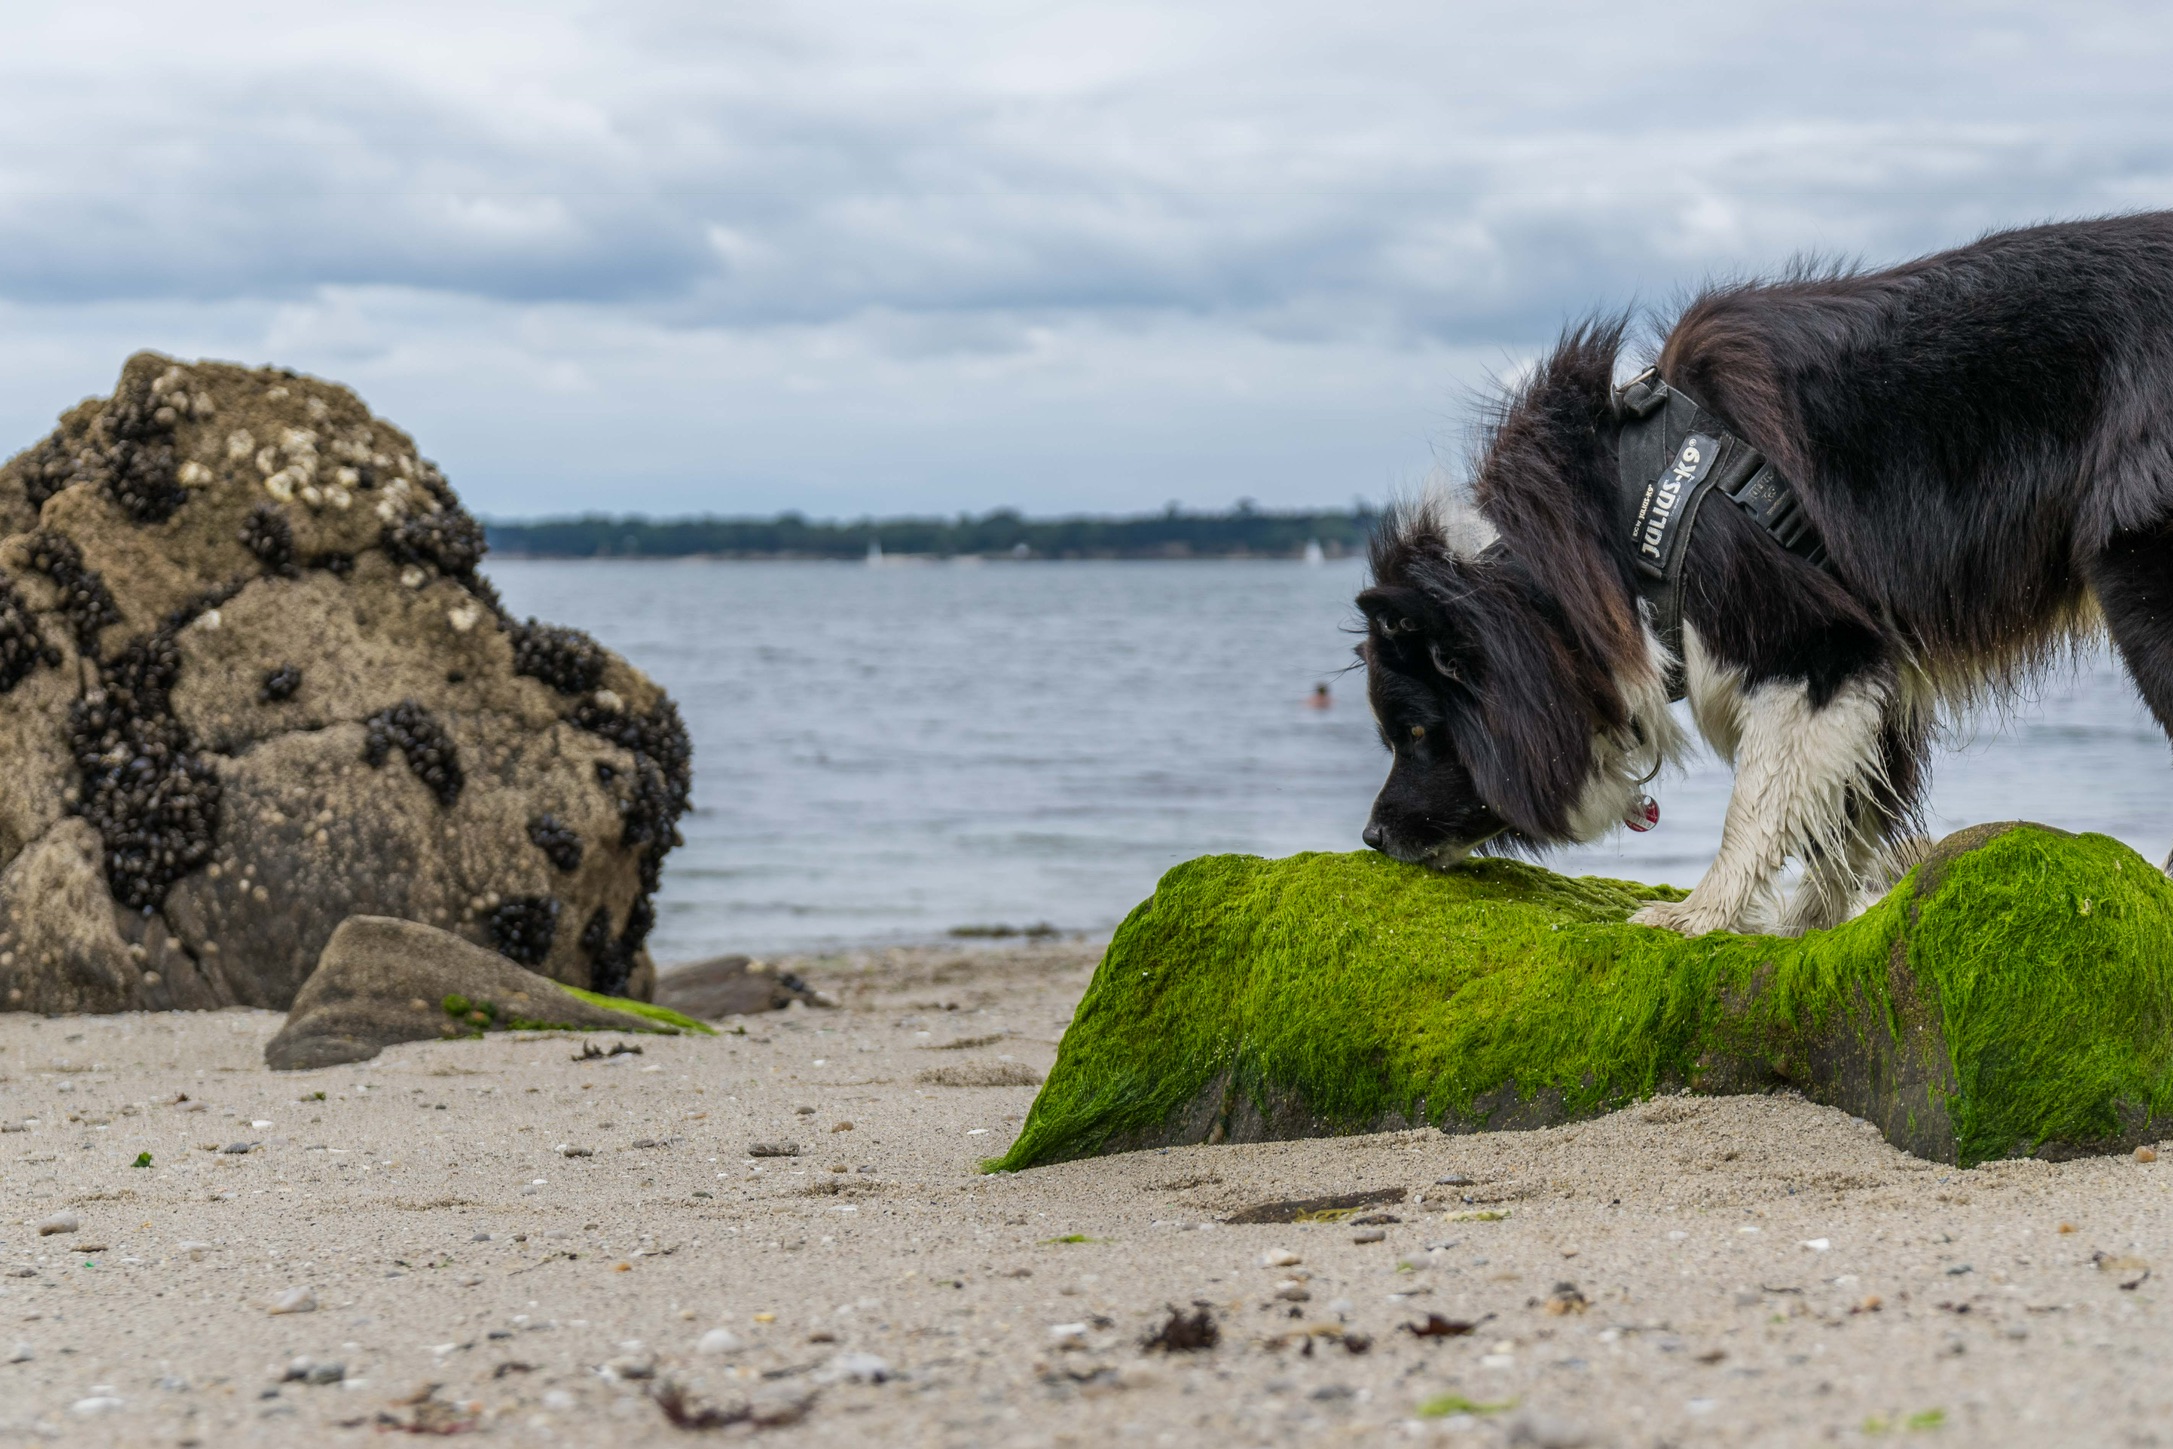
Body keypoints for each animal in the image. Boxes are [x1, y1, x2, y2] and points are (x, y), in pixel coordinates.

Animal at [1364, 215, 2173, 942]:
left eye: (1417, 731)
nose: (1370, 836)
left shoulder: (1815, 649)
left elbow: (1756, 805)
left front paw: (1697, 916)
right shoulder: (1877, 673)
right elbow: (1844, 816)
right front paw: (1811, 924)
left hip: (2139, 579)